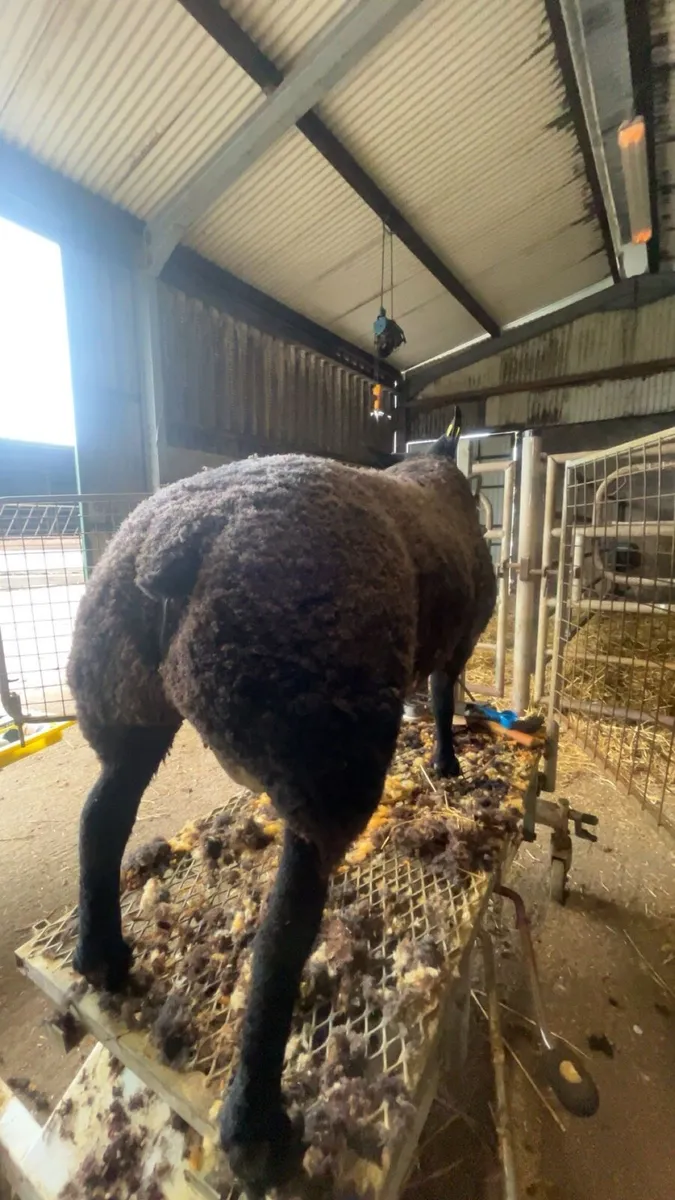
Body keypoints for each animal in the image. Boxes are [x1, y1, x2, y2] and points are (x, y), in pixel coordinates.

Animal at [67, 409, 496, 1194]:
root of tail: (175, 546)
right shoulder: (456, 645)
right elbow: (444, 699)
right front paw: (446, 763)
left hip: (125, 704)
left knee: (100, 821)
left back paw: (103, 956)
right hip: (322, 750)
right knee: (281, 932)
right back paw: (258, 1130)